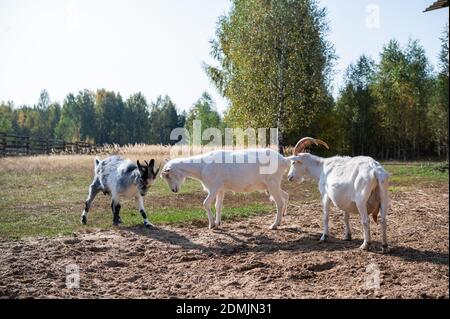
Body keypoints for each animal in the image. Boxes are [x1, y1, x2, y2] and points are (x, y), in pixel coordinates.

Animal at [160, 150, 290, 230]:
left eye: (168, 175)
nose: (173, 190)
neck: (201, 167)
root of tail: (284, 160)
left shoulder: (214, 188)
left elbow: (205, 203)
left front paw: (211, 225)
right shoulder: (221, 189)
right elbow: (218, 206)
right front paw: (218, 223)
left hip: (272, 183)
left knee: (279, 202)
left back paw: (274, 225)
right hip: (272, 185)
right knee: (285, 195)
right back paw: (282, 217)